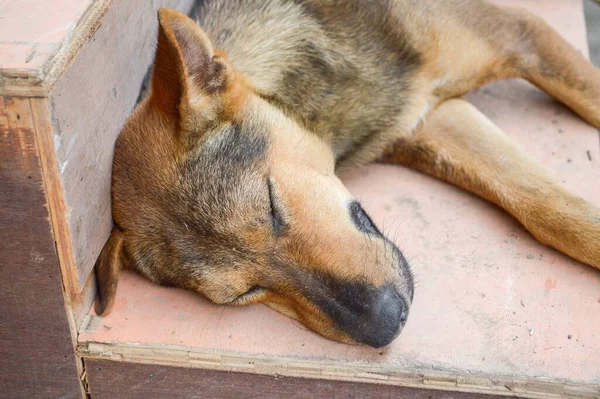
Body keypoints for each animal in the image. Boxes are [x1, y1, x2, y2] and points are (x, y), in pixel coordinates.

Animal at [92, 0, 600, 348]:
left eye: (272, 204)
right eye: (244, 293)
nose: (388, 324)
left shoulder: (519, 32)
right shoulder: (429, 119)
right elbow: (548, 209)